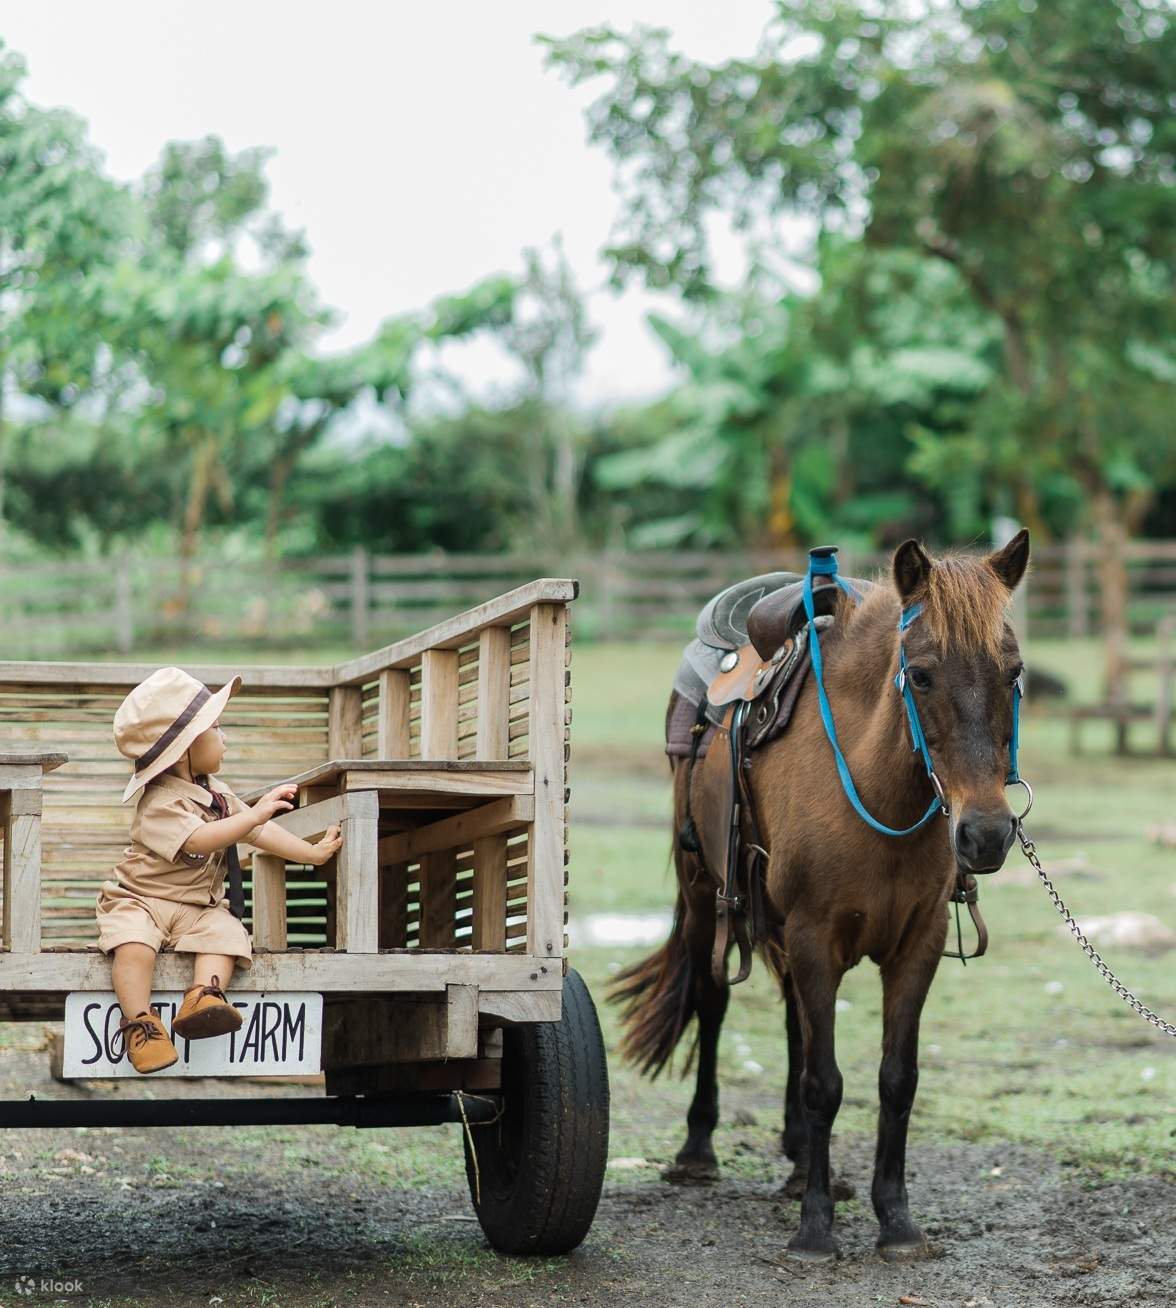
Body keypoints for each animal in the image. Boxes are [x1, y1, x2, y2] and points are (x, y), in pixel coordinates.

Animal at [610, 532, 1031, 1261]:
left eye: (1013, 673)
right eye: (922, 675)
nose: (985, 833)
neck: (876, 792)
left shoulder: (915, 946)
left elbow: (895, 1079)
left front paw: (895, 1220)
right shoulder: (813, 936)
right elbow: (824, 1082)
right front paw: (814, 1229)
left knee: (792, 1021)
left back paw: (805, 1159)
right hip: (706, 898)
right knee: (713, 1001)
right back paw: (699, 1150)